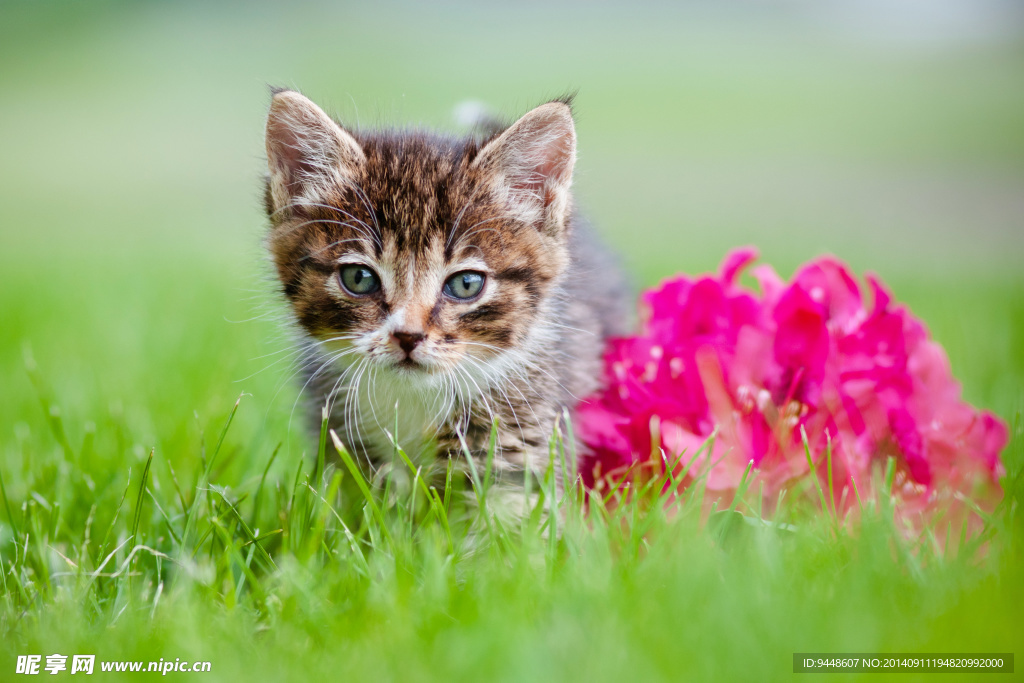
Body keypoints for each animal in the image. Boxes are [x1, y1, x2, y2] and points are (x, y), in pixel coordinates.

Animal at [264, 89, 626, 497]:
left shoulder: (522, 431)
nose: (408, 336)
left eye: (466, 284)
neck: (412, 400)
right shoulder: (339, 436)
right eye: (359, 278)